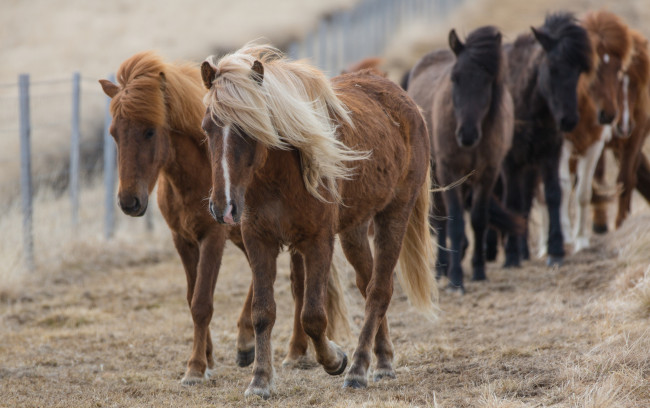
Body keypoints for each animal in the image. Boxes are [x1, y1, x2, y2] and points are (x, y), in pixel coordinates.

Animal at [98, 50, 346, 386]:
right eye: (114, 134)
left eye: (150, 131)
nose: (129, 201)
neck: (192, 176)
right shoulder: (184, 240)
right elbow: (192, 296)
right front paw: (208, 355)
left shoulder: (213, 238)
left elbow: (202, 302)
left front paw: (196, 368)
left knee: (298, 285)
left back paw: (293, 351)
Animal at [201, 44, 436, 398]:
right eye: (207, 128)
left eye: (251, 129)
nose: (223, 207)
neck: (278, 179)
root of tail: (403, 99)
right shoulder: (259, 241)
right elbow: (263, 311)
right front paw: (260, 380)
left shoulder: (318, 242)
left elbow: (312, 315)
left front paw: (335, 359)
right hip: (354, 231)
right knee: (368, 285)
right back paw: (382, 360)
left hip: (393, 216)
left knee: (380, 290)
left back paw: (358, 369)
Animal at [408, 26, 508, 294]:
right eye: (455, 78)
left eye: (488, 80)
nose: (467, 134)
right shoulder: (449, 171)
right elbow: (453, 223)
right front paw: (455, 279)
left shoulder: (488, 174)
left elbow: (478, 220)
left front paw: (479, 271)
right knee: (441, 218)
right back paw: (442, 267)